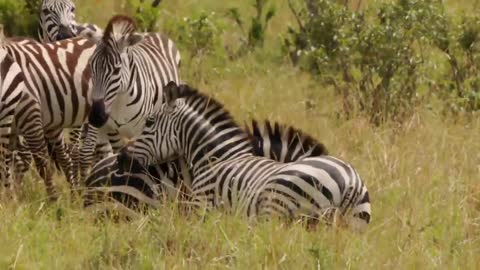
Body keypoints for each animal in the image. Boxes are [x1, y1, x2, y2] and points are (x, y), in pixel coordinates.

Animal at [79, 14, 181, 184]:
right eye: (91, 66)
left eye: (116, 70)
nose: (96, 117)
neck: (120, 101)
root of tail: (151, 33)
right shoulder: (112, 131)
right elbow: (118, 154)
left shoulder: (143, 129)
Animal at [115, 81, 372, 228]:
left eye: (149, 122)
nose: (121, 158)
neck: (217, 156)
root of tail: (350, 182)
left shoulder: (201, 207)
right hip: (354, 225)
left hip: (277, 208)